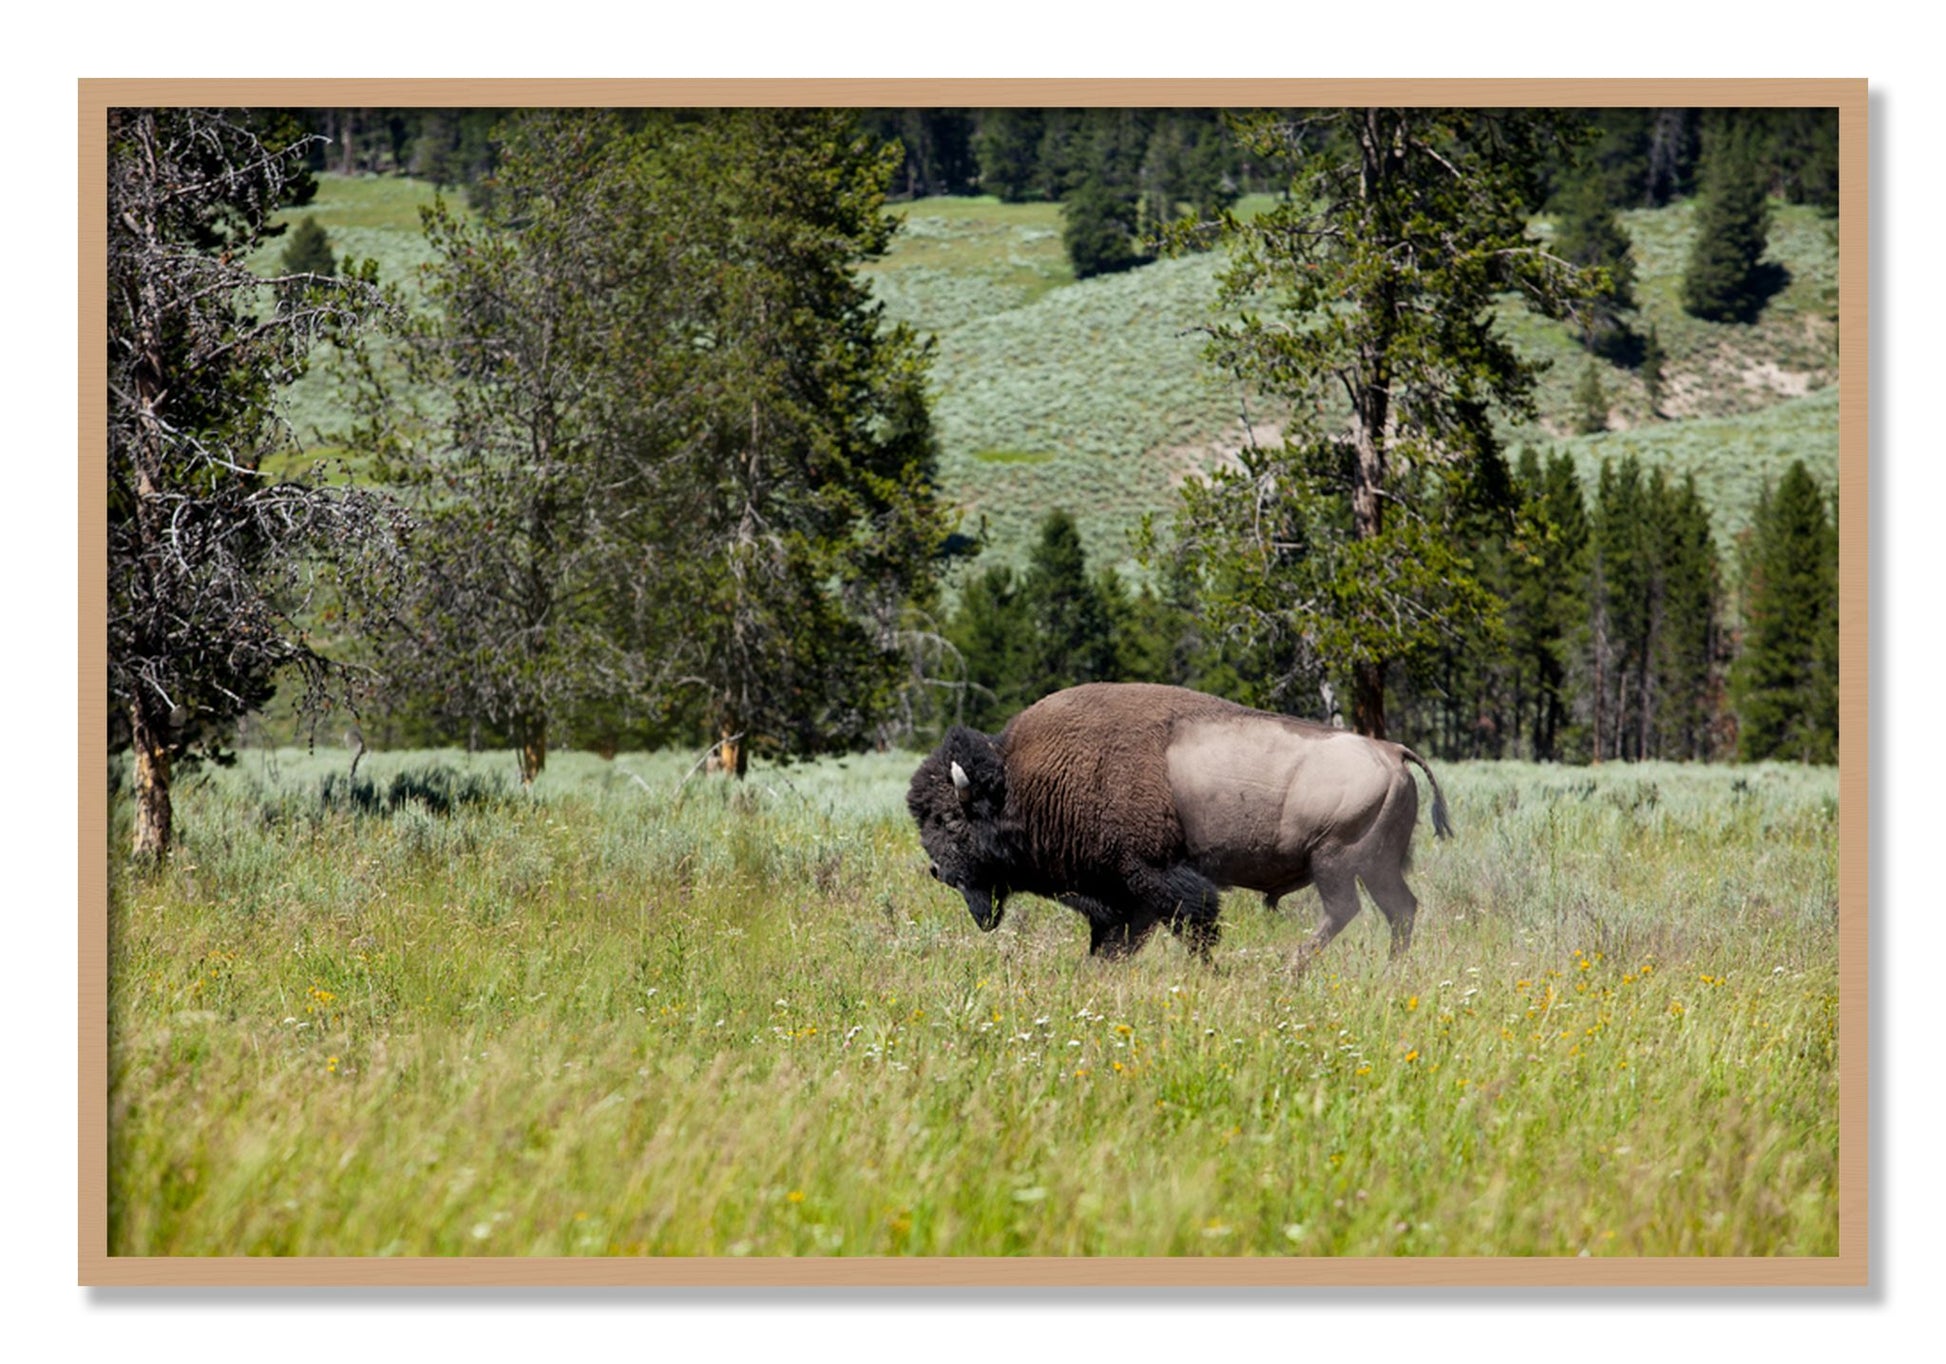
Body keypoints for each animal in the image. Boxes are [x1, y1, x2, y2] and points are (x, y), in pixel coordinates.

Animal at [907, 682, 1450, 966]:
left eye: (951, 820)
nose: (938, 871)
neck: (1022, 780)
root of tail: (1391, 751)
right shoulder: (1122, 896)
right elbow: (1116, 941)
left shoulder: (1154, 877)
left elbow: (1194, 925)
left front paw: (1209, 970)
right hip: (1376, 866)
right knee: (1400, 910)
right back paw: (1389, 969)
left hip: (1335, 861)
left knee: (1346, 911)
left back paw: (1290, 969)